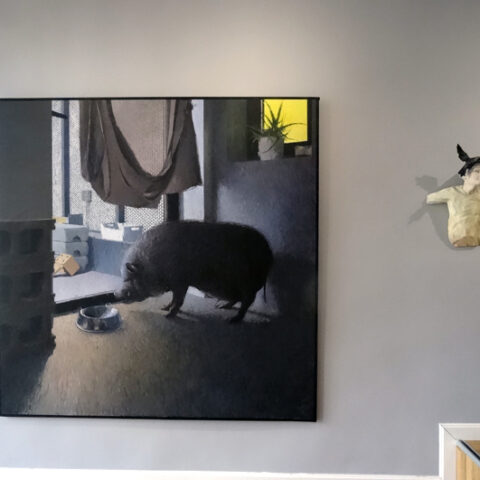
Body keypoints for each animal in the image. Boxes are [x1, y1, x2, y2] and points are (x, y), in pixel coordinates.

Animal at [114, 220, 273, 323]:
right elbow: (174, 299)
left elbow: (179, 299)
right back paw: (220, 306)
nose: (116, 293)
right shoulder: (177, 283)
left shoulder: (180, 281)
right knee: (237, 299)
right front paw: (163, 308)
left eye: (129, 278)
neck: (153, 265)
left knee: (248, 300)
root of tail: (268, 252)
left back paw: (232, 320)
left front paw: (168, 316)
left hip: (245, 282)